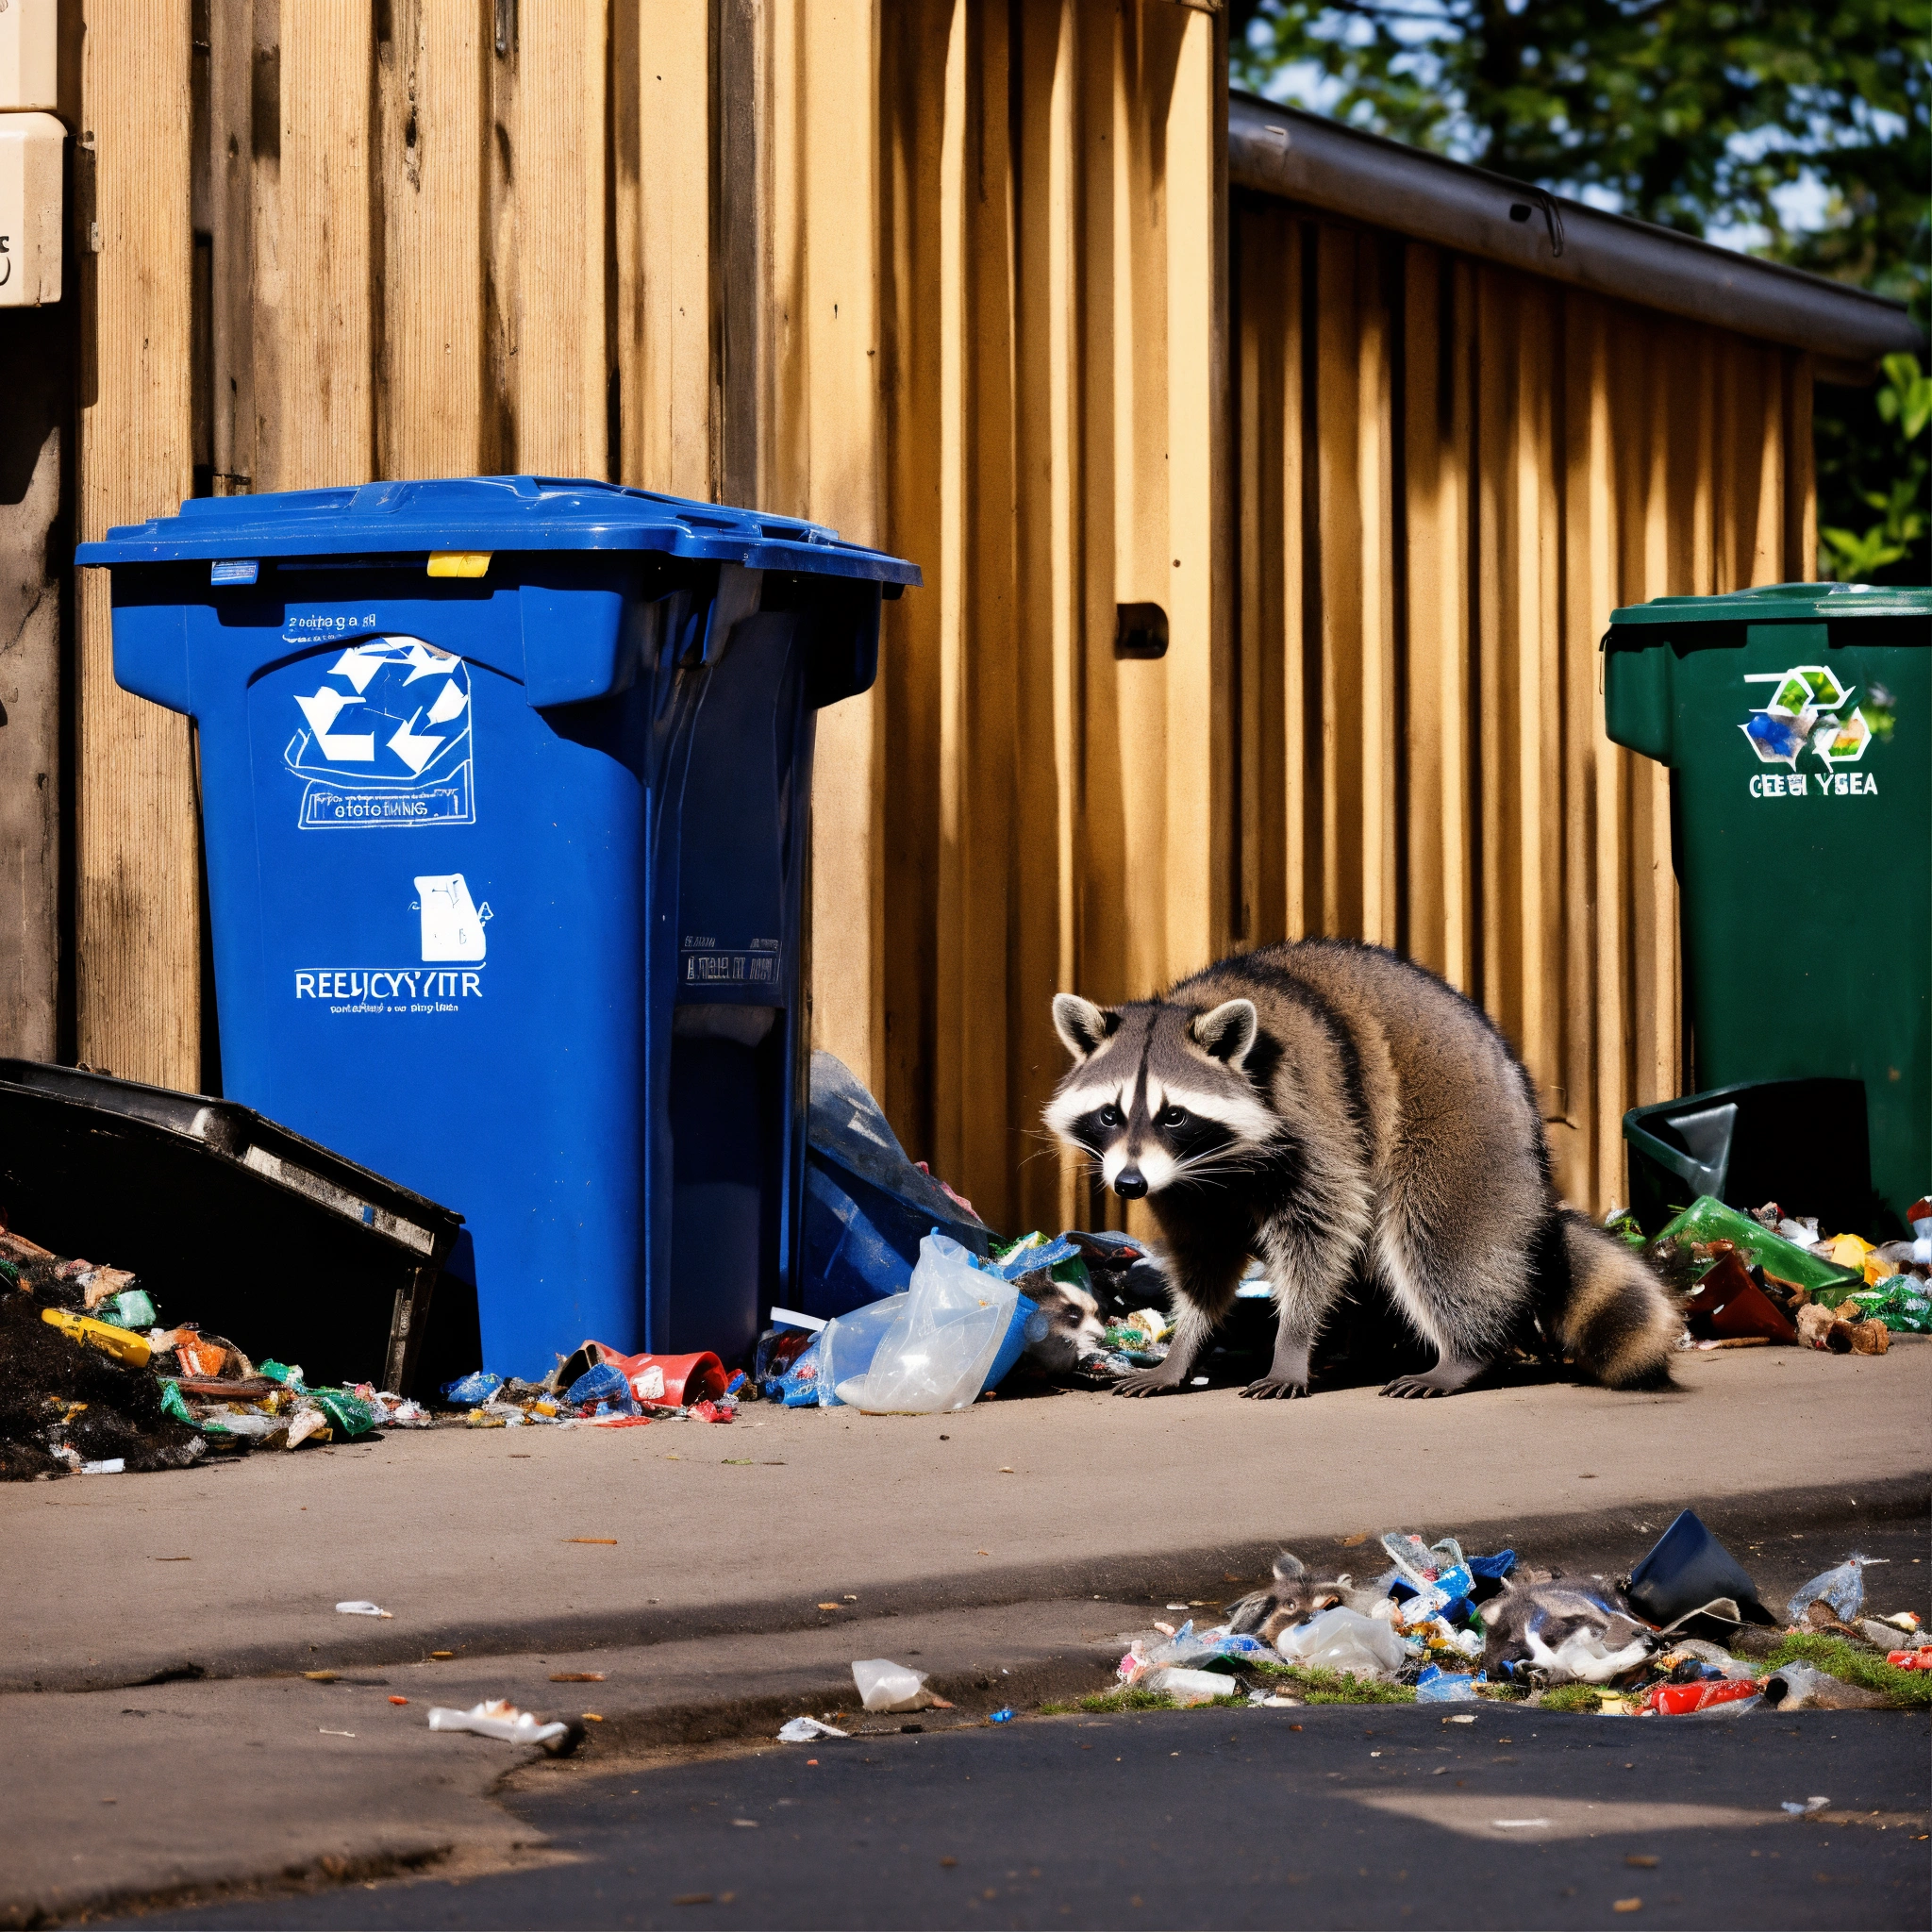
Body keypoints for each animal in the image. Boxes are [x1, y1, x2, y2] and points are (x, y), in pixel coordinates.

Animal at [1044, 939, 1680, 1399]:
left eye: (1174, 1115)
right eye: (1109, 1114)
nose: (1128, 1185)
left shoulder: (1314, 1118)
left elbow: (1323, 1229)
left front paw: (1292, 1343)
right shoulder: (1186, 1186)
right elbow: (1205, 1258)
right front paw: (1185, 1347)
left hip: (1465, 1126)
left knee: (1439, 1238)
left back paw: (1463, 1355)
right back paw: (1363, 1351)